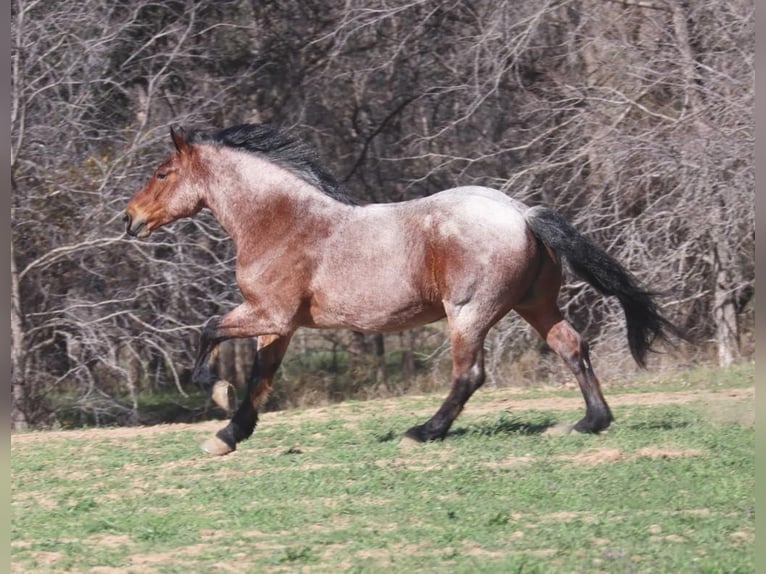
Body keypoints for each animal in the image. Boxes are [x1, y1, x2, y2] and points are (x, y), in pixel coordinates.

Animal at [126, 124, 684, 456]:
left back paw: (423, 432)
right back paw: (590, 423)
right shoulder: (280, 326)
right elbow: (261, 376)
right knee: (573, 347)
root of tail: (521, 212)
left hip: (469, 313)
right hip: (536, 306)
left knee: (470, 374)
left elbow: (207, 330)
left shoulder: (270, 313)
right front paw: (229, 434)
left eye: (162, 172)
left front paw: (216, 392)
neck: (281, 222)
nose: (130, 219)